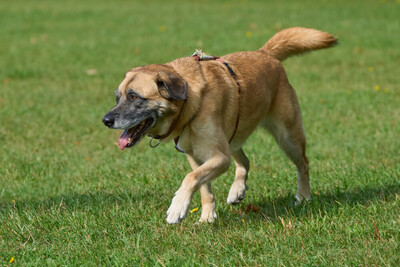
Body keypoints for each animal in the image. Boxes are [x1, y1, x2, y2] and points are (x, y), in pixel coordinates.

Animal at [101, 27, 336, 224]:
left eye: (134, 96)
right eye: (117, 98)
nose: (106, 120)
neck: (190, 103)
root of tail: (265, 54)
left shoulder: (219, 157)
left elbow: (190, 178)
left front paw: (177, 208)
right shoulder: (197, 157)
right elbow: (203, 187)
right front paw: (207, 217)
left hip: (287, 137)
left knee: (303, 164)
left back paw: (303, 197)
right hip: (233, 135)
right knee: (245, 161)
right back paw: (237, 190)